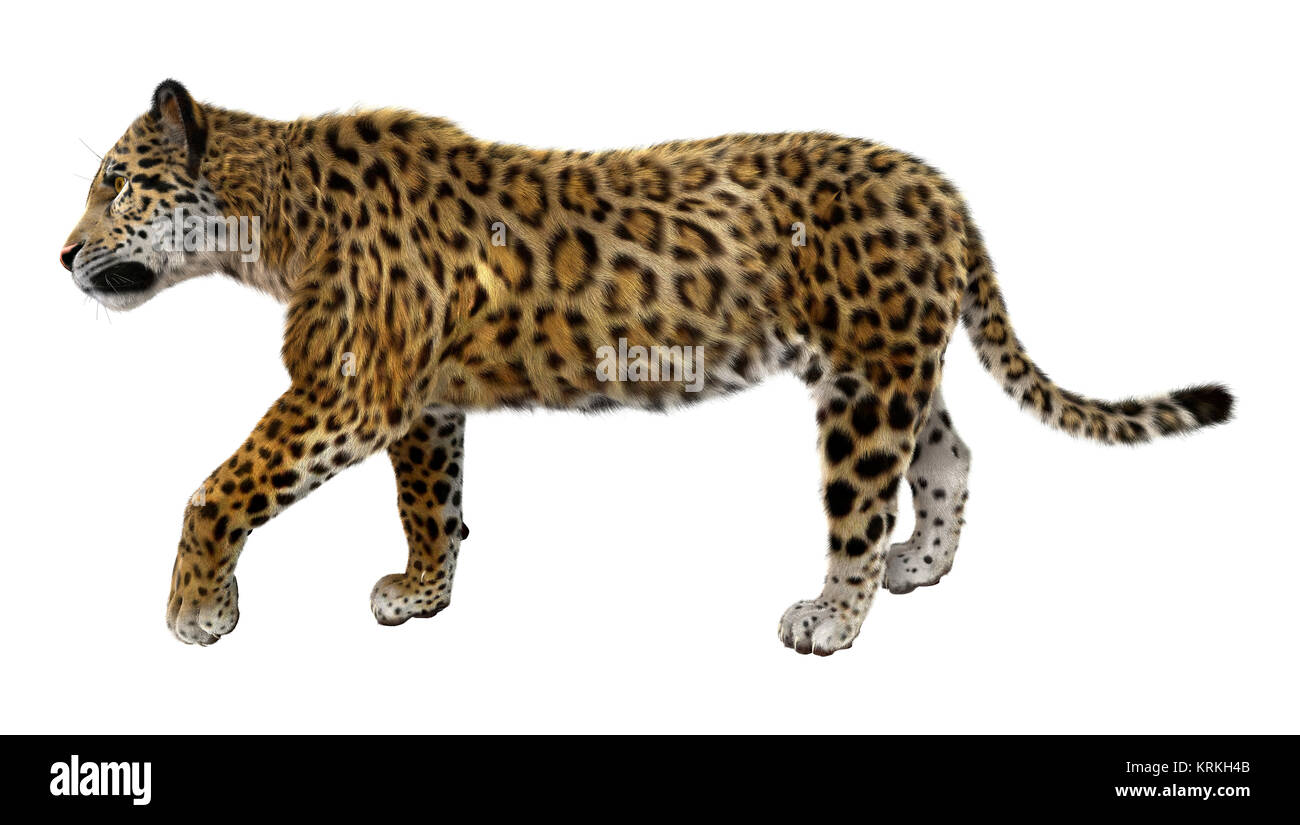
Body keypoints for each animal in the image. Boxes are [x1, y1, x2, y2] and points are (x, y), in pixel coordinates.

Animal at [60, 81, 1233, 655]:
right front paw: (424, 593)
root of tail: (941, 186)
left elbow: (219, 488)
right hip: (896, 364)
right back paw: (922, 571)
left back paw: (831, 620)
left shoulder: (348, 389)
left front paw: (195, 614)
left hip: (863, 387)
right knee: (949, 460)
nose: (61, 254)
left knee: (861, 505)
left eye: (115, 182)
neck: (272, 218)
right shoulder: (422, 399)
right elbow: (430, 502)